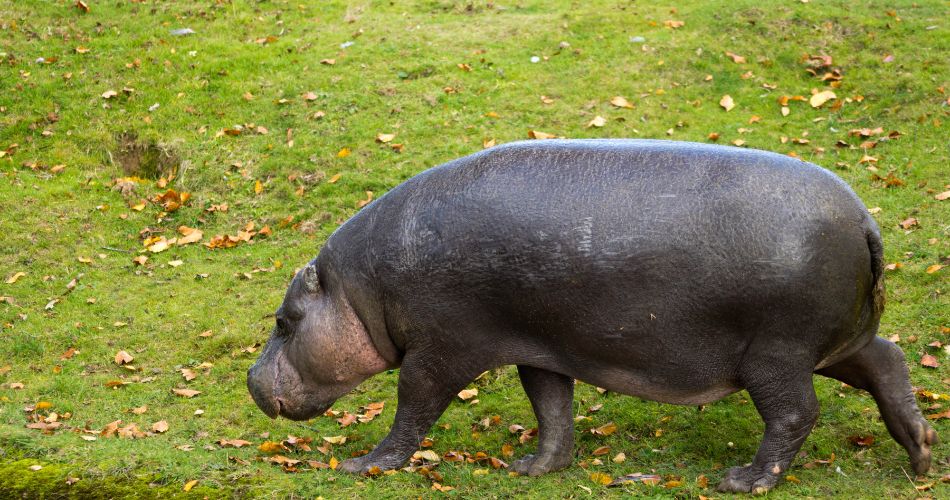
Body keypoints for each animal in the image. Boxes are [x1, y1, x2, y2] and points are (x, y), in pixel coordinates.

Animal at [247, 139, 937, 493]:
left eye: (283, 321)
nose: (252, 380)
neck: (357, 292)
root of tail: (866, 219)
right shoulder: (538, 344)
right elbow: (551, 407)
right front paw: (532, 469)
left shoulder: (441, 350)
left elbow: (412, 408)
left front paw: (363, 466)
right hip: (830, 342)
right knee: (887, 360)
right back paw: (922, 454)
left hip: (776, 353)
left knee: (795, 413)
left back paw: (743, 480)